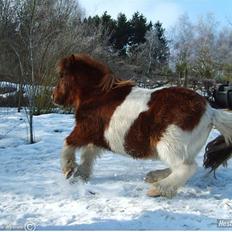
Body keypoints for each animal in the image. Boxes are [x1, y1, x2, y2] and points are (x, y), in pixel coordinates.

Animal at [52, 54, 232, 198]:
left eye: (61, 75)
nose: (53, 97)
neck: (98, 95)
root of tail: (210, 111)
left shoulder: (84, 130)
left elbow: (68, 143)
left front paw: (68, 169)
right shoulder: (98, 137)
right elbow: (88, 154)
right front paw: (80, 175)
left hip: (168, 144)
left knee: (186, 167)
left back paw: (157, 188)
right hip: (183, 148)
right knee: (181, 166)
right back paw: (154, 177)